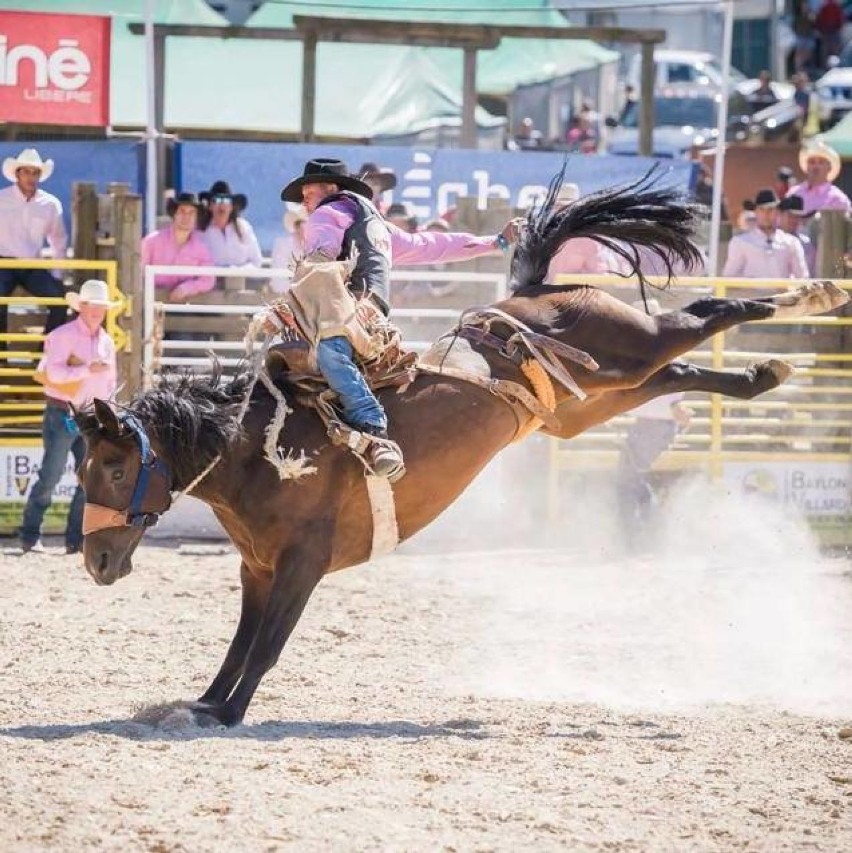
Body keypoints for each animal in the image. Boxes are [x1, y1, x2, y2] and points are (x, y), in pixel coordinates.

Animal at [76, 173, 848, 724]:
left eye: (114, 465)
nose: (95, 562)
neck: (261, 449)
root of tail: (530, 292)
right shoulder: (256, 569)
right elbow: (240, 642)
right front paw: (206, 701)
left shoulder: (301, 565)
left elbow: (266, 646)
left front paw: (230, 713)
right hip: (593, 398)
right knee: (681, 371)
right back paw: (763, 372)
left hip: (628, 342)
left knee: (707, 314)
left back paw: (815, 294)